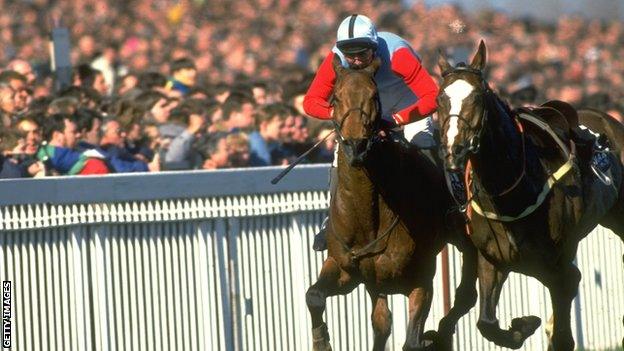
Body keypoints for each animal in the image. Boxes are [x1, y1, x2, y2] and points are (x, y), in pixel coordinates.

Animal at [306, 56, 478, 350]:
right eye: (335, 98)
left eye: (374, 96)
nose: (356, 145)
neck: (367, 218)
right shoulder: (345, 268)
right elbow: (314, 296)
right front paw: (321, 341)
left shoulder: (421, 278)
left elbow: (411, 340)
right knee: (382, 323)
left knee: (467, 295)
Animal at [436, 40, 624, 350]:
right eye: (440, 99)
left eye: (477, 97)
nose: (454, 150)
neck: (510, 190)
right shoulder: (492, 258)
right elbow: (486, 323)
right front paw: (522, 326)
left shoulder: (558, 265)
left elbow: (564, 327)